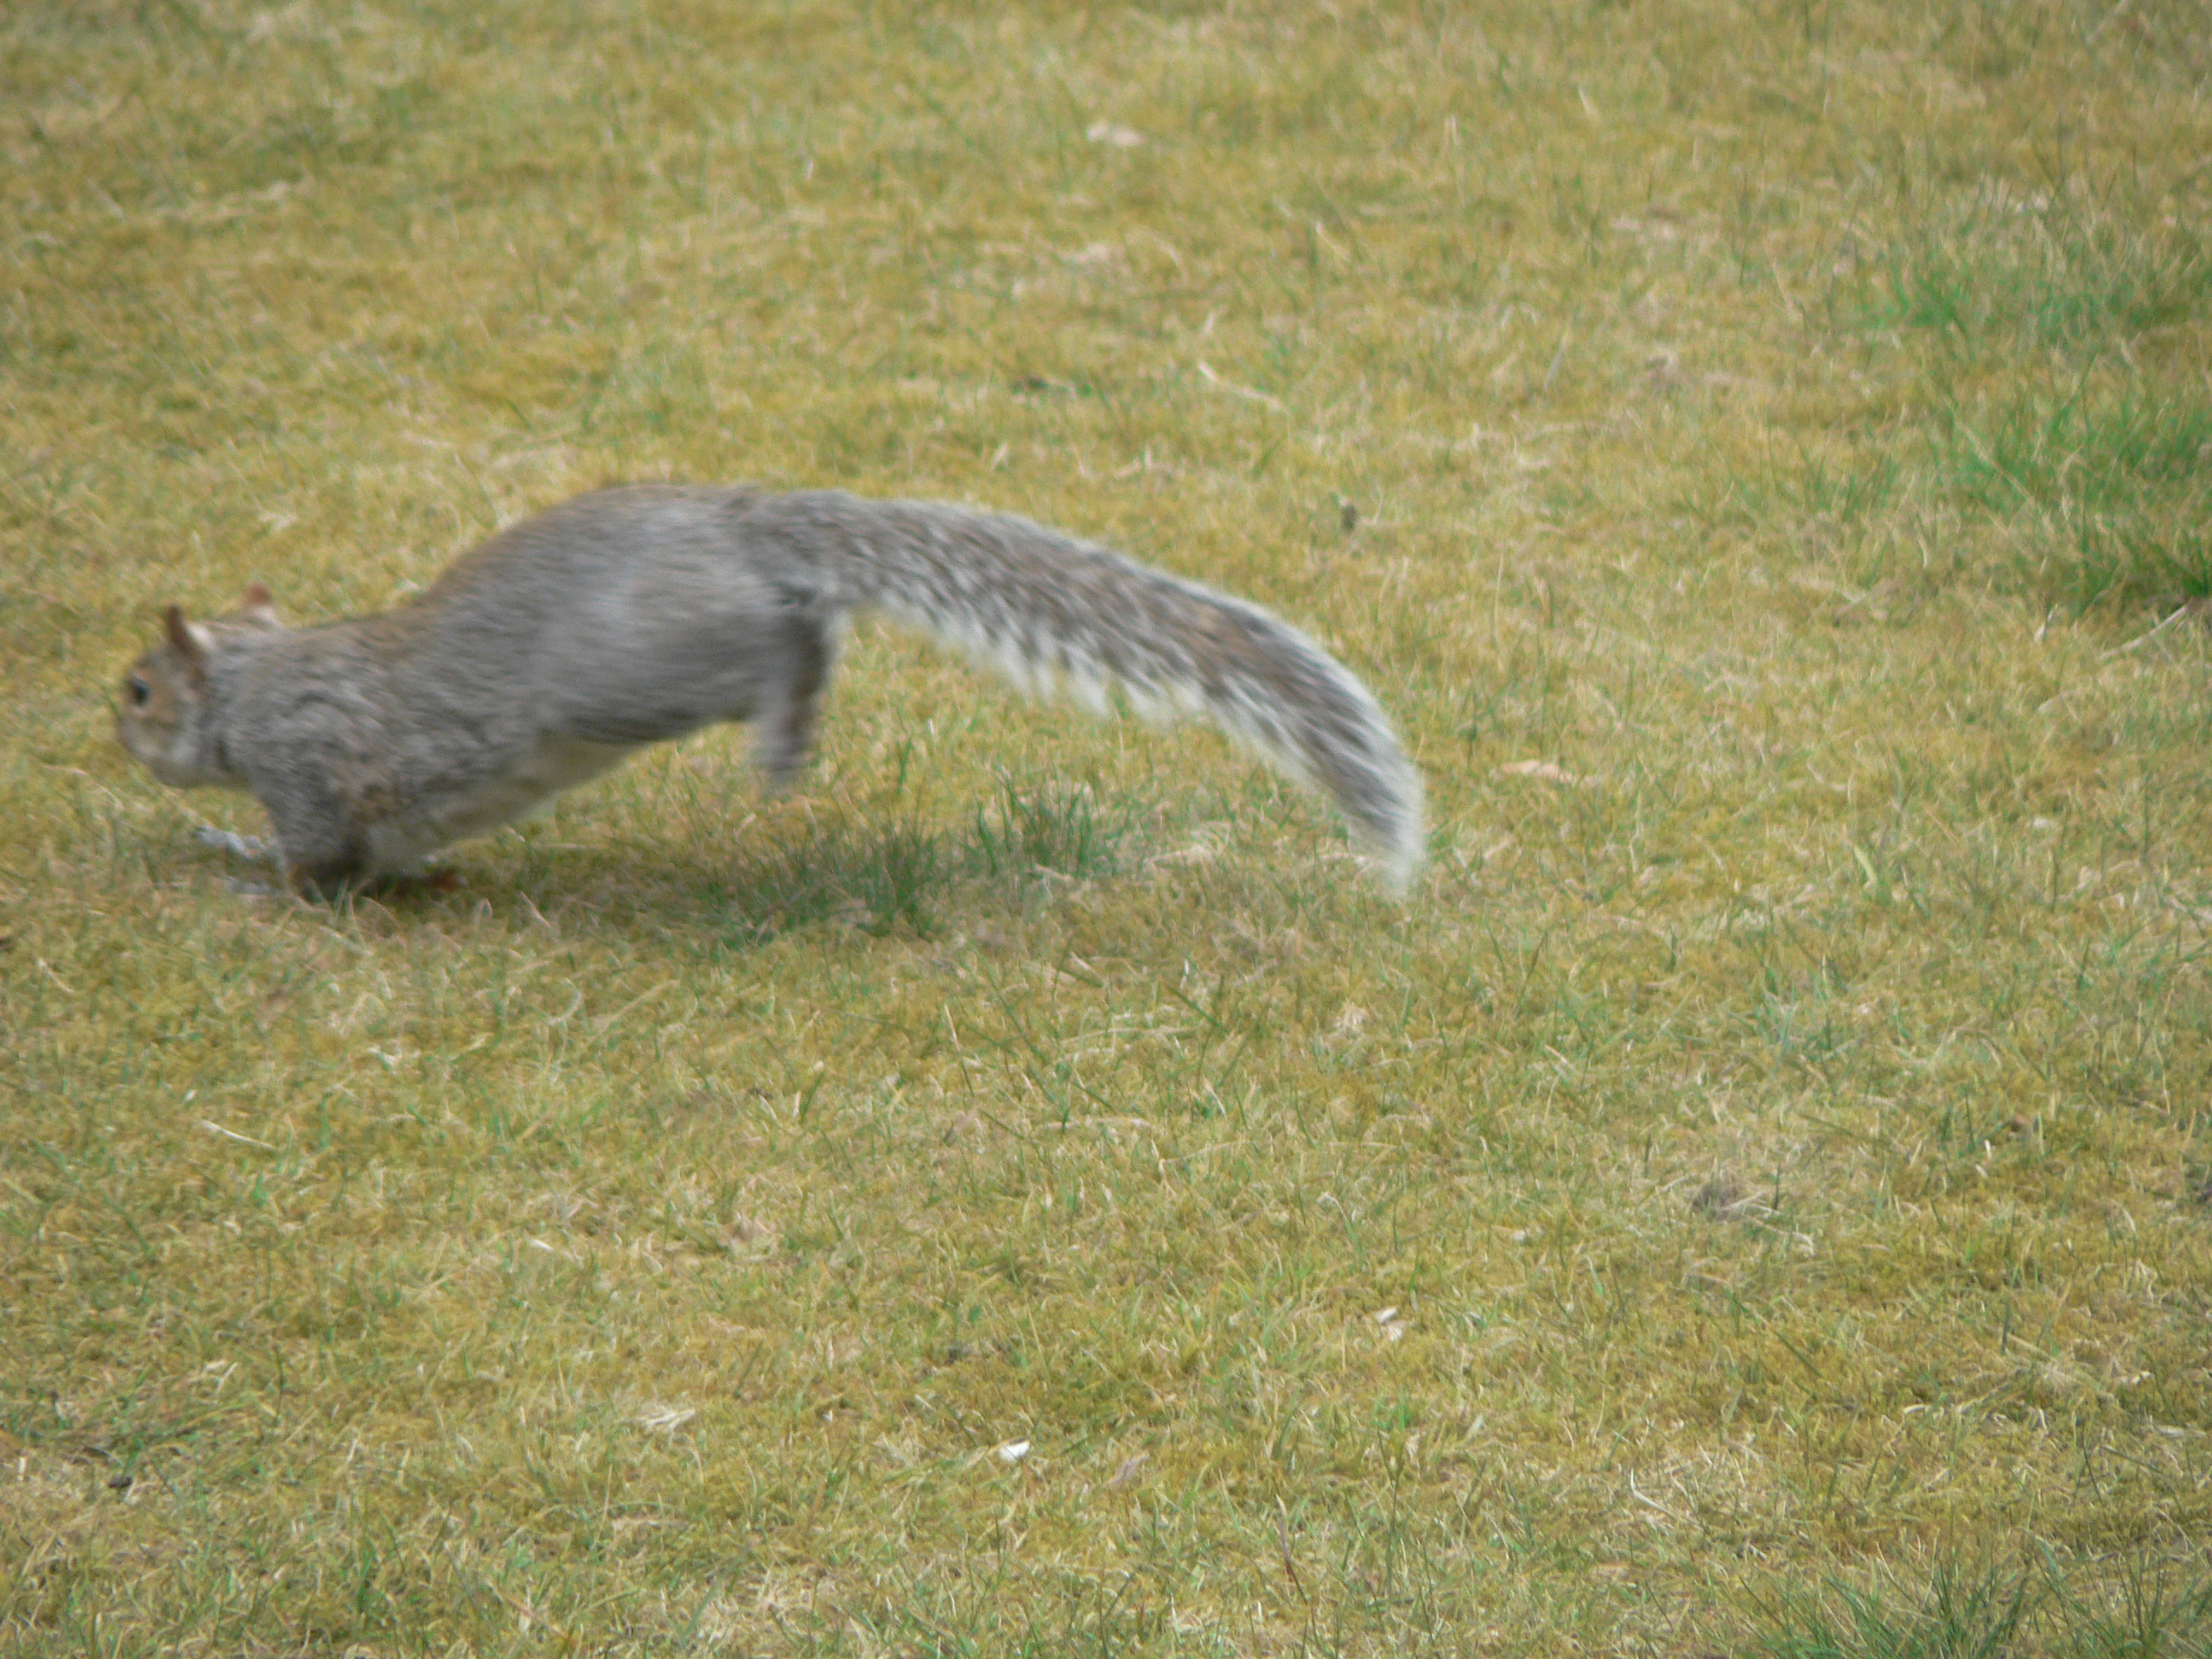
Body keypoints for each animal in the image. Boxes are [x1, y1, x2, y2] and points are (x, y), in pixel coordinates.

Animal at [115, 483, 1425, 898]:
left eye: (136, 690)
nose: (115, 733)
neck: (254, 680)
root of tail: (737, 518)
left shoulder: (306, 763)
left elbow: (313, 860)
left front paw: (237, 867)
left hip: (631, 673)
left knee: (788, 646)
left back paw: (786, 733)